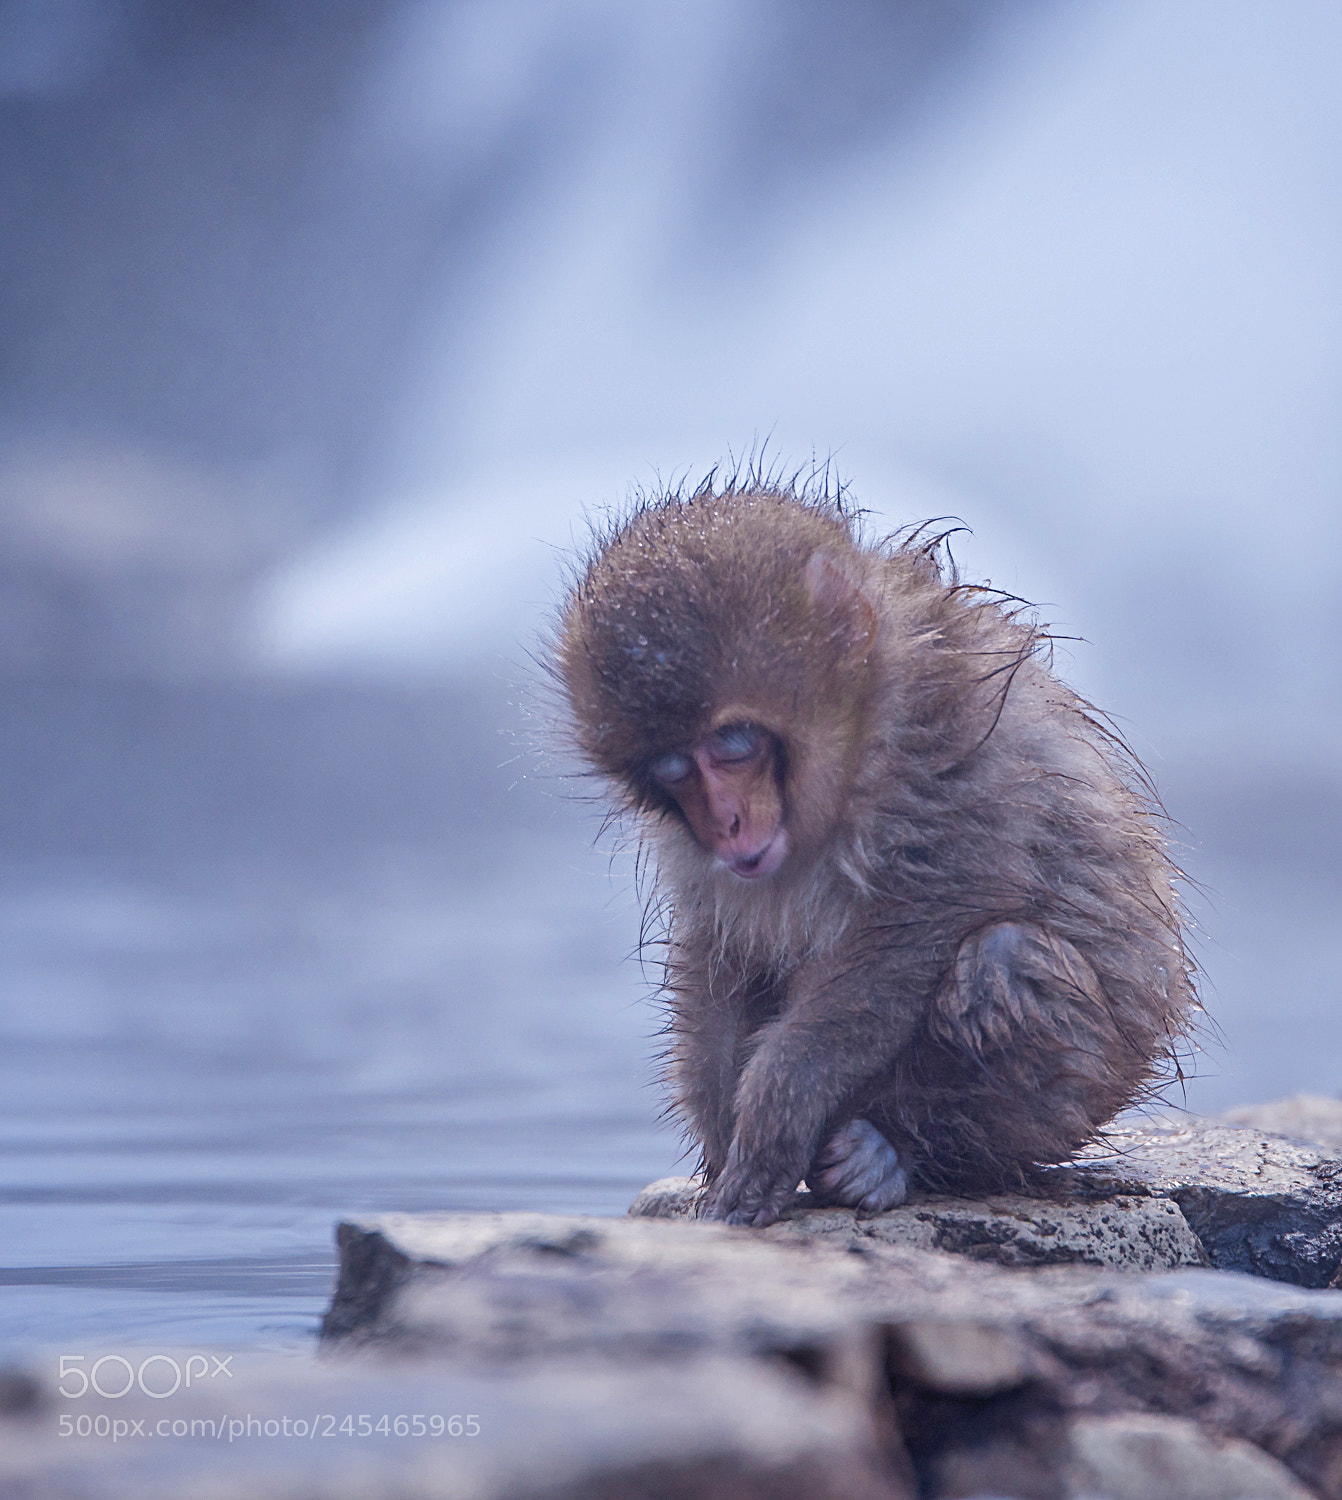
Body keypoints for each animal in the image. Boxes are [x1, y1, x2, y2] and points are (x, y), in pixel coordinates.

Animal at [550, 477, 1195, 1227]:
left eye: (733, 746)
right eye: (674, 771)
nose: (728, 825)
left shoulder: (946, 756)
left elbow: (910, 935)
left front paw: (773, 1119)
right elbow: (721, 950)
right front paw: (722, 1146)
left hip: (1081, 1095)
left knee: (1003, 963)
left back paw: (894, 1154)